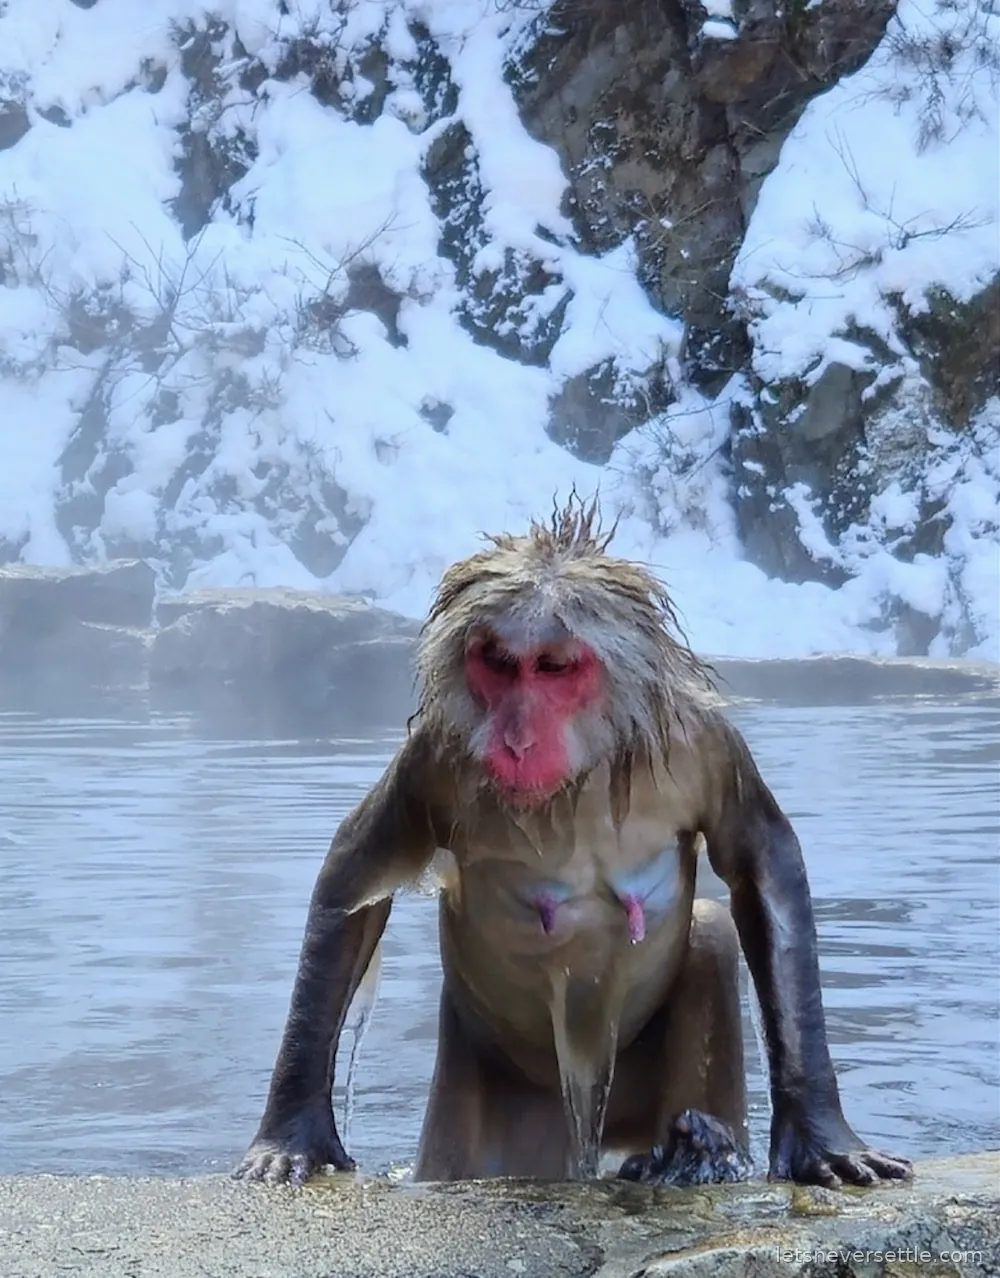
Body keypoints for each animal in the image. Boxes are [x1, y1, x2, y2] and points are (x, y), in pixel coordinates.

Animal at [235, 497, 913, 1190]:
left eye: (554, 668)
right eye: (499, 663)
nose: (516, 736)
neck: (578, 780)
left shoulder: (706, 746)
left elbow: (762, 864)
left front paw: (818, 1134)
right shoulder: (435, 759)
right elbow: (354, 880)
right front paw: (295, 1132)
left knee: (711, 931)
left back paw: (695, 1149)